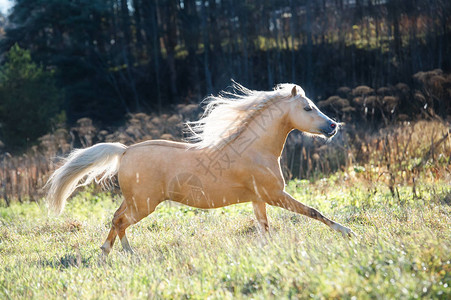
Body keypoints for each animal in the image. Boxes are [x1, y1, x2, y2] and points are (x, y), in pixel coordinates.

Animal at [46, 82, 356, 255]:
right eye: (307, 108)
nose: (333, 126)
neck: (255, 150)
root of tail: (124, 151)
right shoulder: (275, 194)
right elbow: (314, 212)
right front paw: (348, 232)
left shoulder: (258, 199)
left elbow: (264, 227)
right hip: (144, 205)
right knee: (120, 222)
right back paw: (119, 253)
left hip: (133, 201)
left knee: (115, 219)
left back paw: (114, 252)